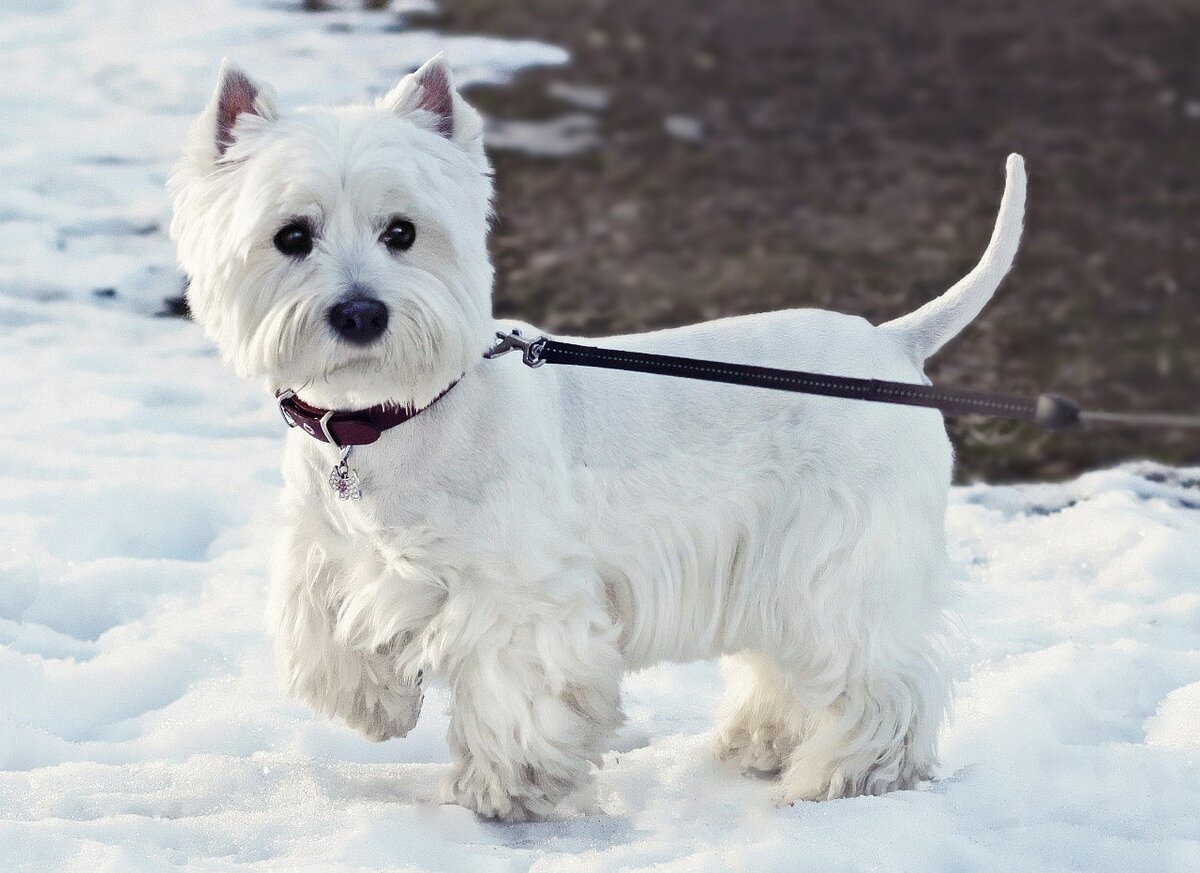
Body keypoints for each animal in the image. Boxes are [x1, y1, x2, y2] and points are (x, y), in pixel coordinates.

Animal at [169, 54, 1027, 820]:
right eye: (291, 236)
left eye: (402, 231)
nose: (360, 312)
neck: (385, 419)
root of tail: (895, 343)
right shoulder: (335, 556)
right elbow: (330, 646)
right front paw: (376, 706)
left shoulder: (520, 592)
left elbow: (515, 694)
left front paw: (504, 792)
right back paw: (759, 743)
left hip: (840, 563)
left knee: (879, 679)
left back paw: (841, 778)